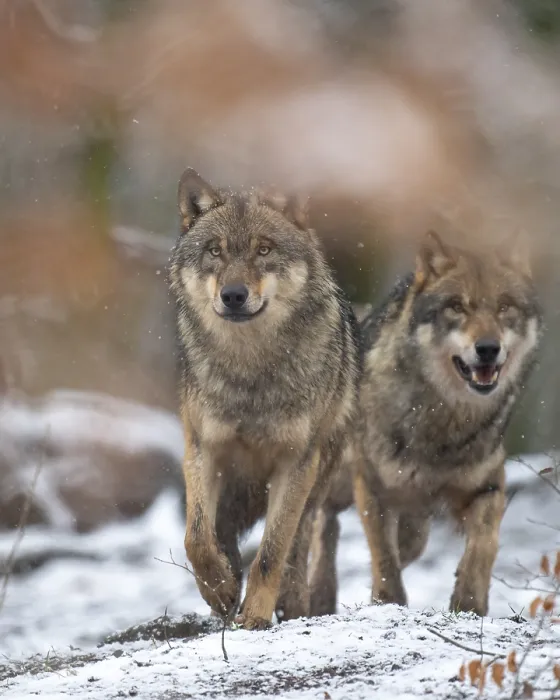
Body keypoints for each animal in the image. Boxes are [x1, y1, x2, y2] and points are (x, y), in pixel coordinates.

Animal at [167, 168, 362, 630]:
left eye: (264, 249)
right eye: (215, 251)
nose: (234, 295)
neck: (250, 372)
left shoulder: (295, 462)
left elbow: (273, 552)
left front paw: (255, 615)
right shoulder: (203, 449)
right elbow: (196, 539)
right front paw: (220, 589)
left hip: (317, 479)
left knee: (297, 545)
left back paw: (289, 605)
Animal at [310, 231, 542, 617]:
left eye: (504, 306)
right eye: (457, 307)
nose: (488, 348)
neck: (442, 422)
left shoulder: (488, 485)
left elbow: (485, 544)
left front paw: (469, 602)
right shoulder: (372, 486)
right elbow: (383, 558)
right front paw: (387, 602)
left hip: (416, 518)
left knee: (406, 543)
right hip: (336, 481)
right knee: (320, 525)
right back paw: (315, 596)